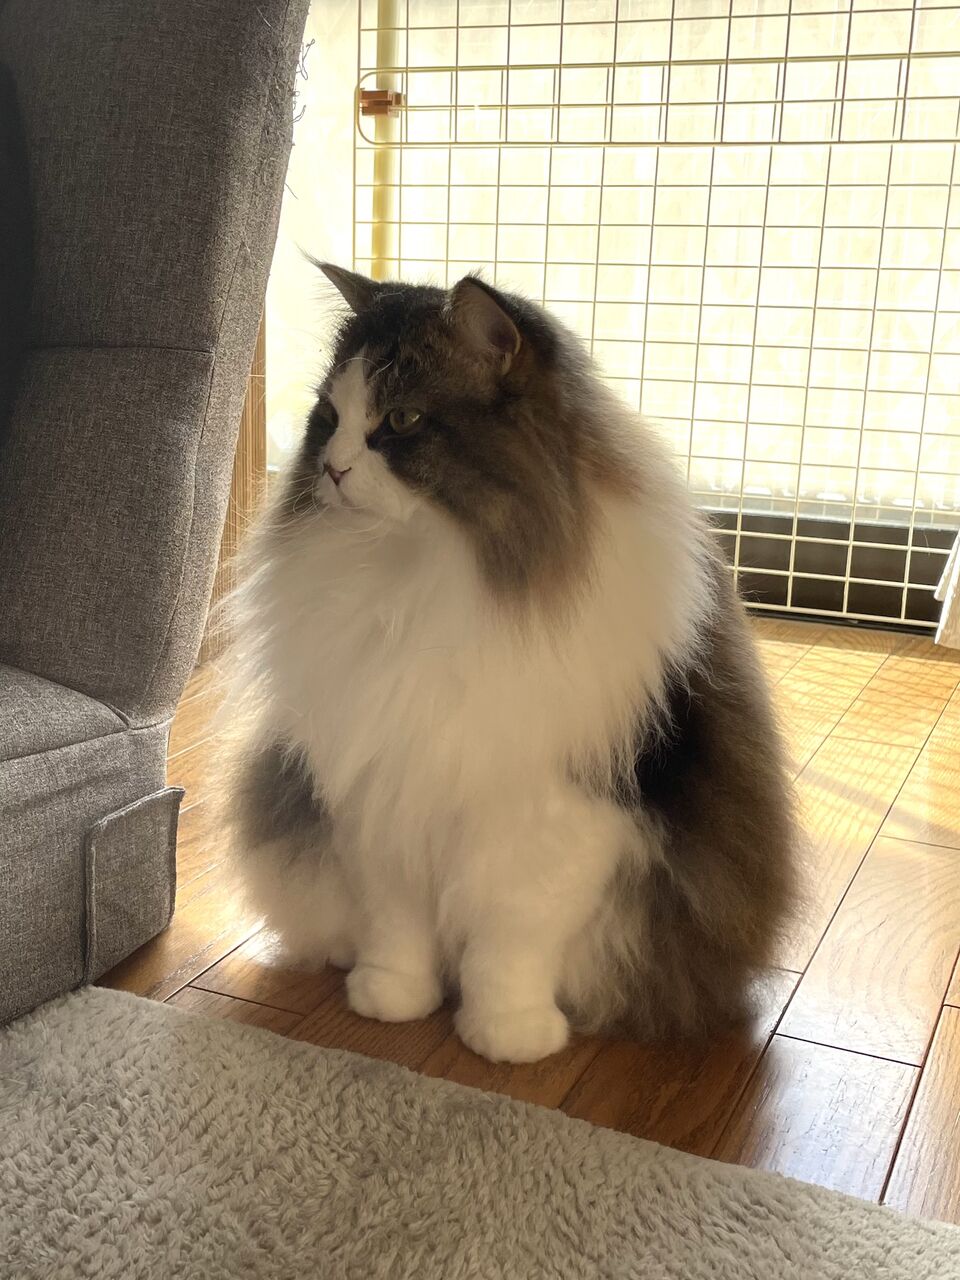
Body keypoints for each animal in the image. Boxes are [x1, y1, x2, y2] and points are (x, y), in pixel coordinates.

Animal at [221, 265, 796, 1064]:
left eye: (401, 420)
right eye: (327, 417)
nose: (333, 469)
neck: (424, 578)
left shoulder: (552, 820)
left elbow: (512, 941)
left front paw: (507, 1035)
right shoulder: (384, 796)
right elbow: (395, 925)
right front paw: (390, 999)